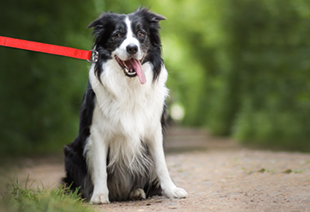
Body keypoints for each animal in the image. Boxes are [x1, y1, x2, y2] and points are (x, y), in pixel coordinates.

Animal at [60, 7, 186, 204]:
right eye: (117, 35)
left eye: (141, 34)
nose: (132, 48)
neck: (129, 84)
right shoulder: (97, 132)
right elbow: (100, 168)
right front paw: (99, 195)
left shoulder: (153, 129)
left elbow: (161, 164)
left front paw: (172, 190)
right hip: (71, 152)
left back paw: (136, 191)